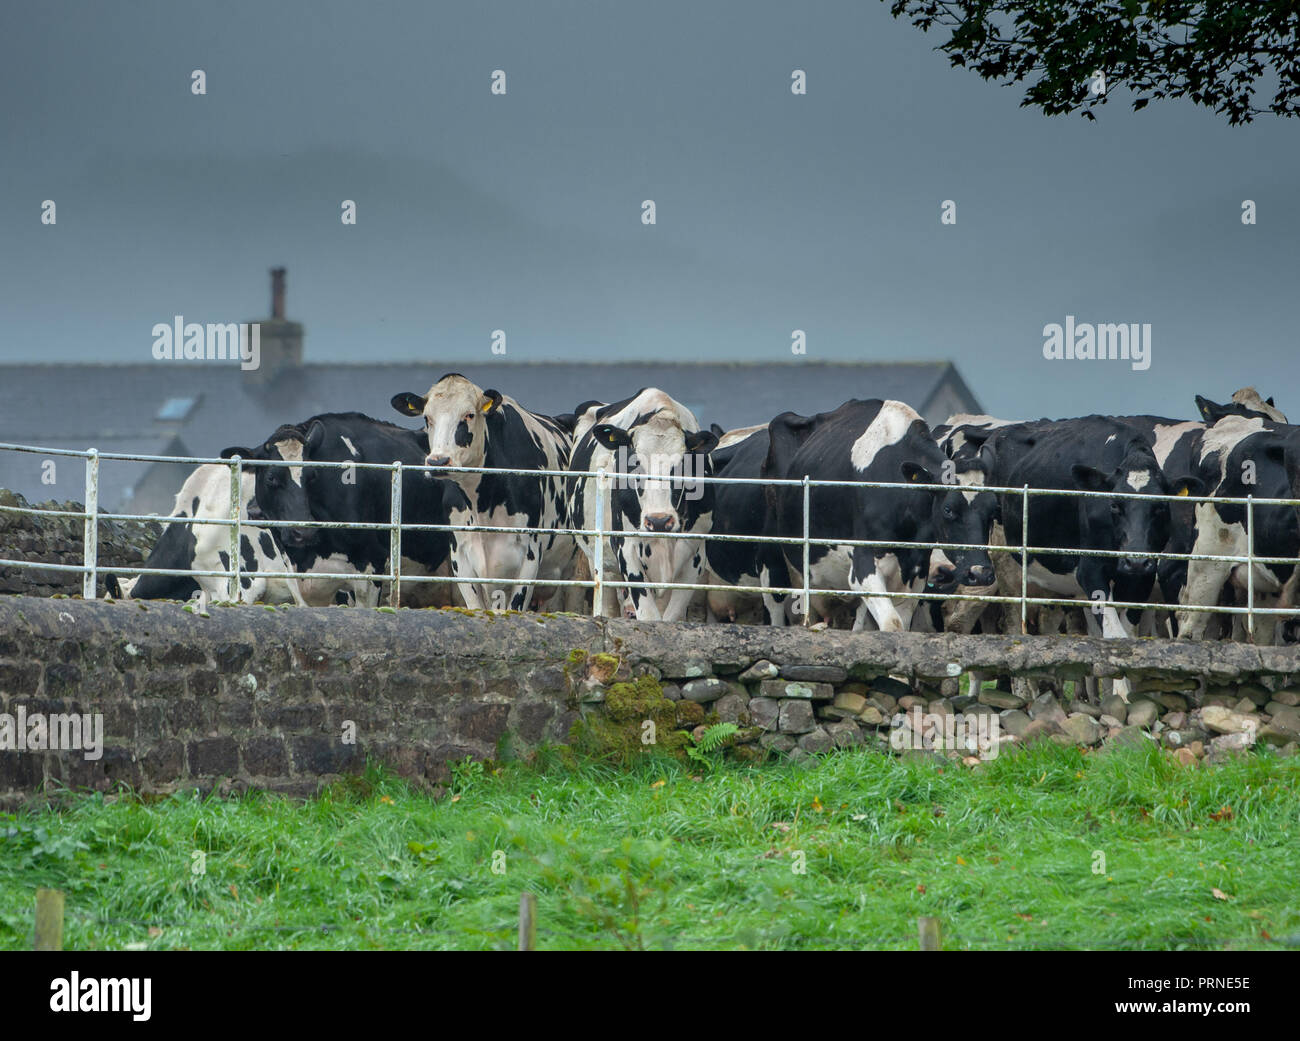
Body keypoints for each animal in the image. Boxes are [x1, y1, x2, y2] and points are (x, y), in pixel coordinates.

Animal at [387, 371, 577, 608]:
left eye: (469, 415)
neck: (484, 507)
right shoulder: (461, 559)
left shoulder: (529, 557)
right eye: (427, 418)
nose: (438, 461)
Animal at [569, 387, 722, 618]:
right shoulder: (626, 549)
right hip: (601, 561)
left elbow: (670, 616)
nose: (659, 521)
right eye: (635, 464)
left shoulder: (693, 557)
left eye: (682, 466)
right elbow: (648, 615)